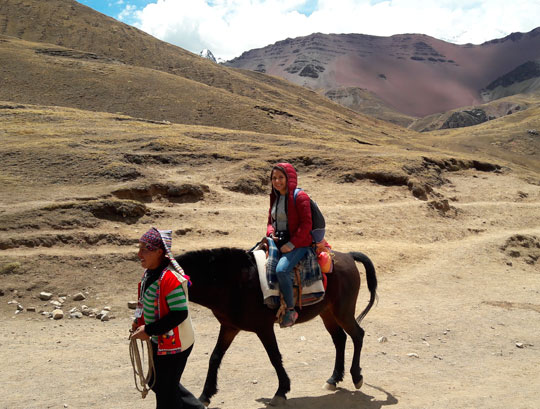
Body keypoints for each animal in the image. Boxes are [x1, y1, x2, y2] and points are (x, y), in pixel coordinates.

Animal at [175, 245, 378, 404]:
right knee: (340, 339)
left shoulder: (263, 328)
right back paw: (334, 378)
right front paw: (205, 395)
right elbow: (215, 357)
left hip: (343, 312)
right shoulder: (229, 327)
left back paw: (356, 376)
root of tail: (348, 256)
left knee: (357, 335)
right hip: (327, 313)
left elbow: (274, 357)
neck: (234, 283)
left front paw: (281, 391)